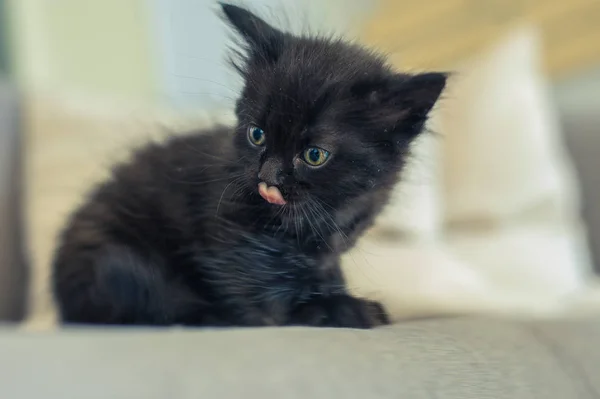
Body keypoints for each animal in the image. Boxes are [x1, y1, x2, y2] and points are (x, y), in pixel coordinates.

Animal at [51, 3, 446, 328]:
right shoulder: (232, 243)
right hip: (118, 263)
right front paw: (340, 309)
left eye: (314, 155)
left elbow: (325, 273)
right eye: (257, 135)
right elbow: (269, 302)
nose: (267, 175)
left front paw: (336, 295)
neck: (314, 224)